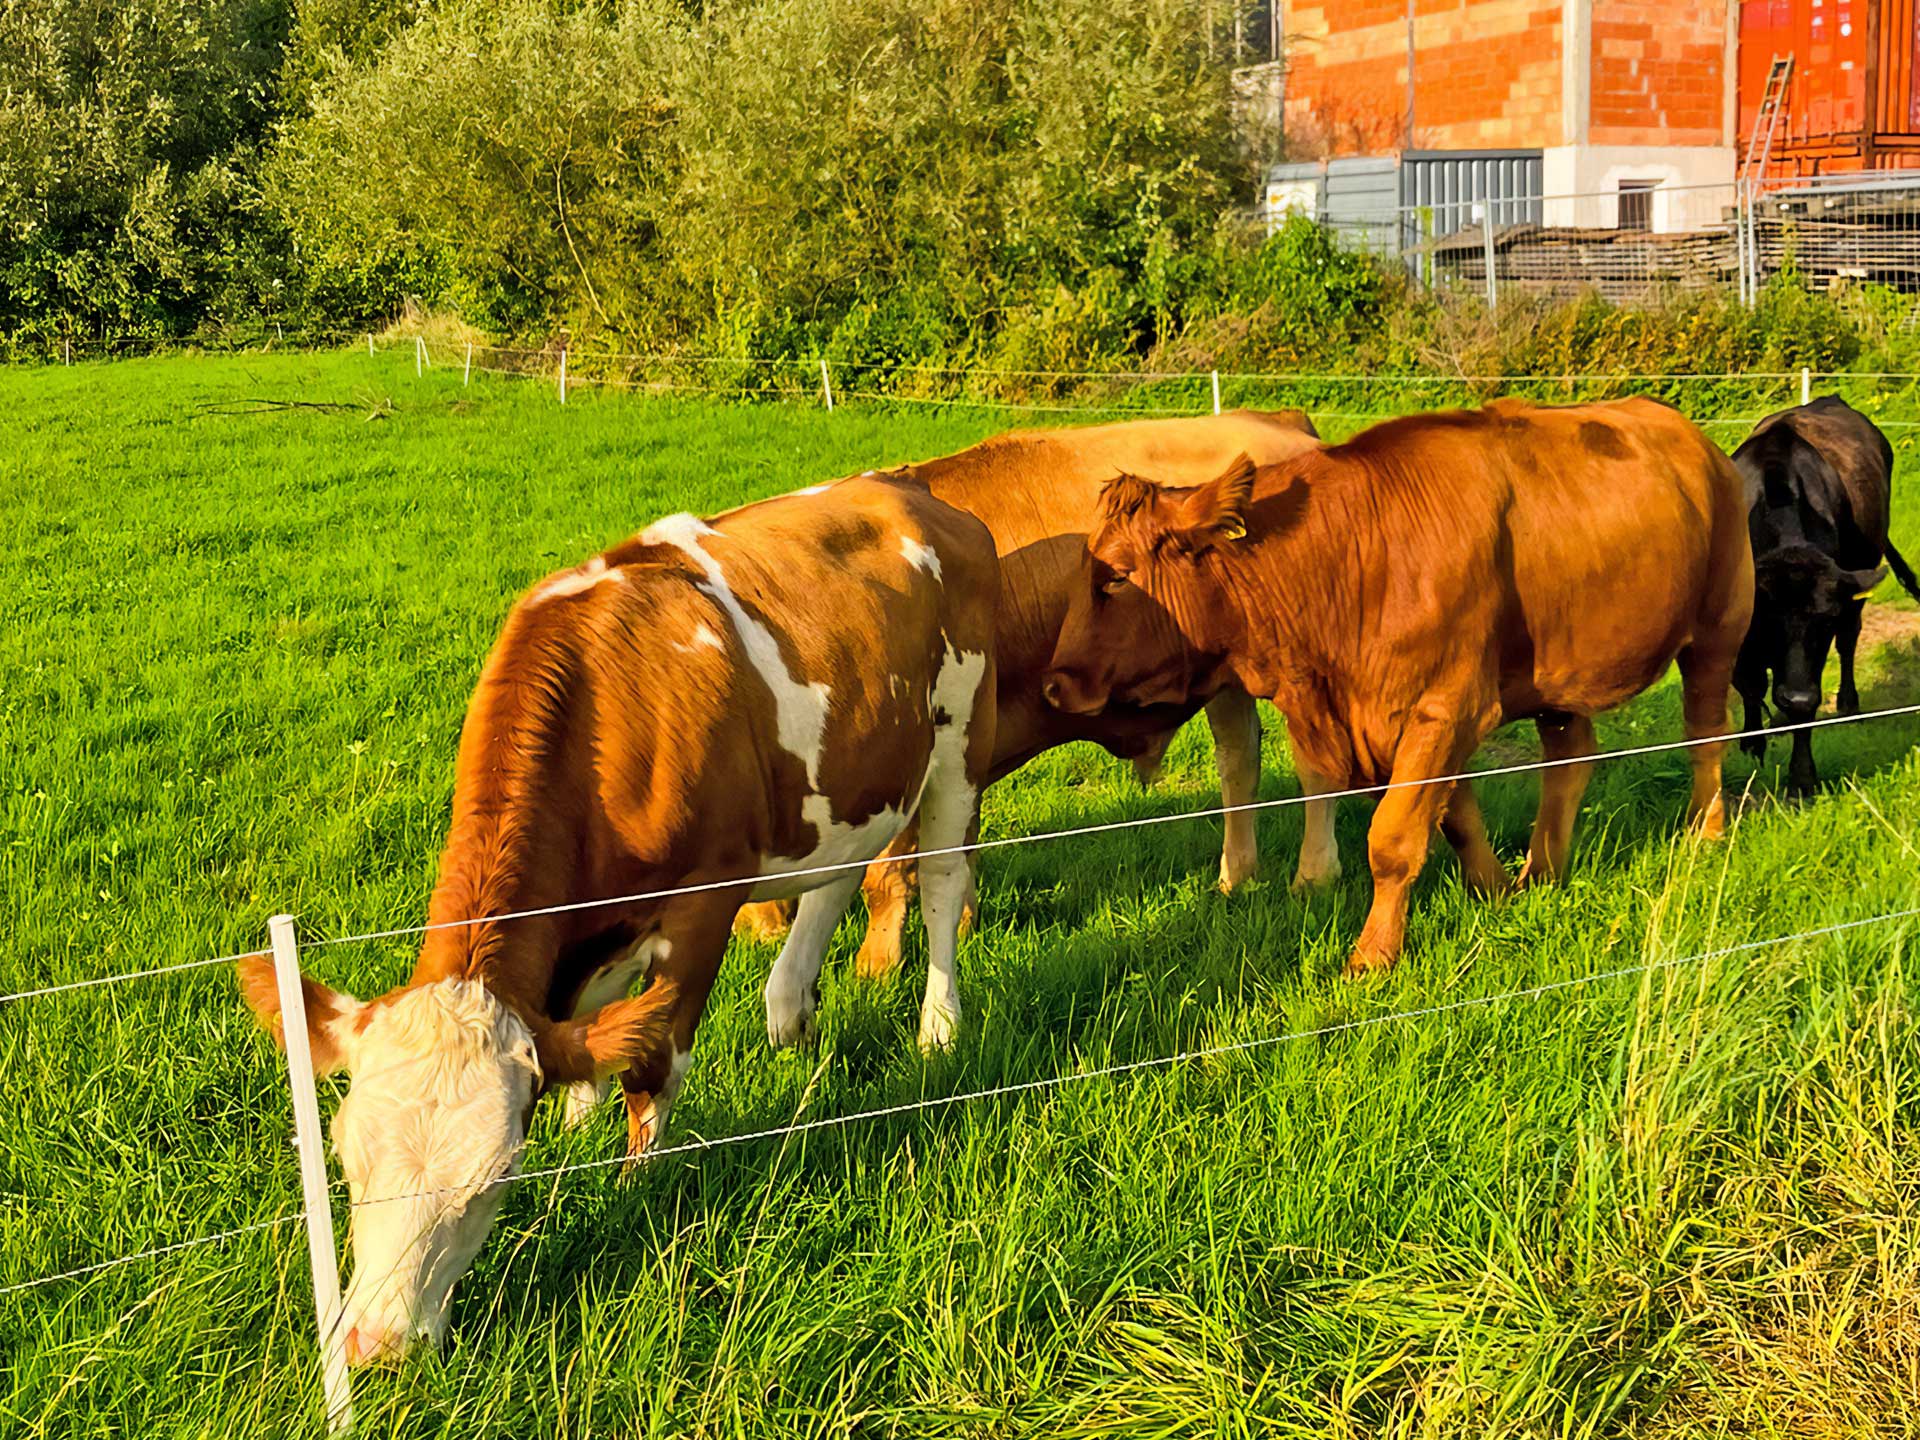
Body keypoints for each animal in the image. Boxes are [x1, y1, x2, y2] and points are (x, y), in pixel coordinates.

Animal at [237, 473, 997, 1364]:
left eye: (496, 1177)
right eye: (347, 1161)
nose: (377, 1346)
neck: (609, 727)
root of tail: (908, 486)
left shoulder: (707, 898)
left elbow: (653, 1062)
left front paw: (638, 1184)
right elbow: (585, 1028)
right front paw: (577, 1115)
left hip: (961, 739)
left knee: (942, 876)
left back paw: (938, 1027)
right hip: (856, 770)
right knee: (838, 874)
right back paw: (791, 1013)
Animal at [733, 409, 1329, 973]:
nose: (748, 933)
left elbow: (888, 872)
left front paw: (877, 966)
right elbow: (959, 842)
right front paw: (963, 921)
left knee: (1313, 768)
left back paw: (1312, 876)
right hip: (1228, 681)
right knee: (1238, 759)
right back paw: (1236, 877)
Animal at [1041, 397, 1753, 975]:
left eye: (1115, 578)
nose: (1053, 684)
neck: (1355, 552)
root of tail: (1697, 439)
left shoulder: (1447, 707)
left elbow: (1393, 837)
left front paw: (1373, 956)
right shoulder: (1413, 718)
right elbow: (1454, 815)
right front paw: (1494, 889)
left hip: (1719, 629)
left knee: (1705, 734)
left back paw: (1707, 831)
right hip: (1561, 672)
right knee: (1570, 758)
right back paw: (1543, 870)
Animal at [1731, 396, 1920, 793]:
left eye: (1825, 620)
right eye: (1766, 619)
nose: (1795, 694)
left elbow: (1806, 703)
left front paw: (1802, 779)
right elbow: (1750, 683)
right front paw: (1752, 744)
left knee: (1849, 641)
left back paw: (1848, 705)